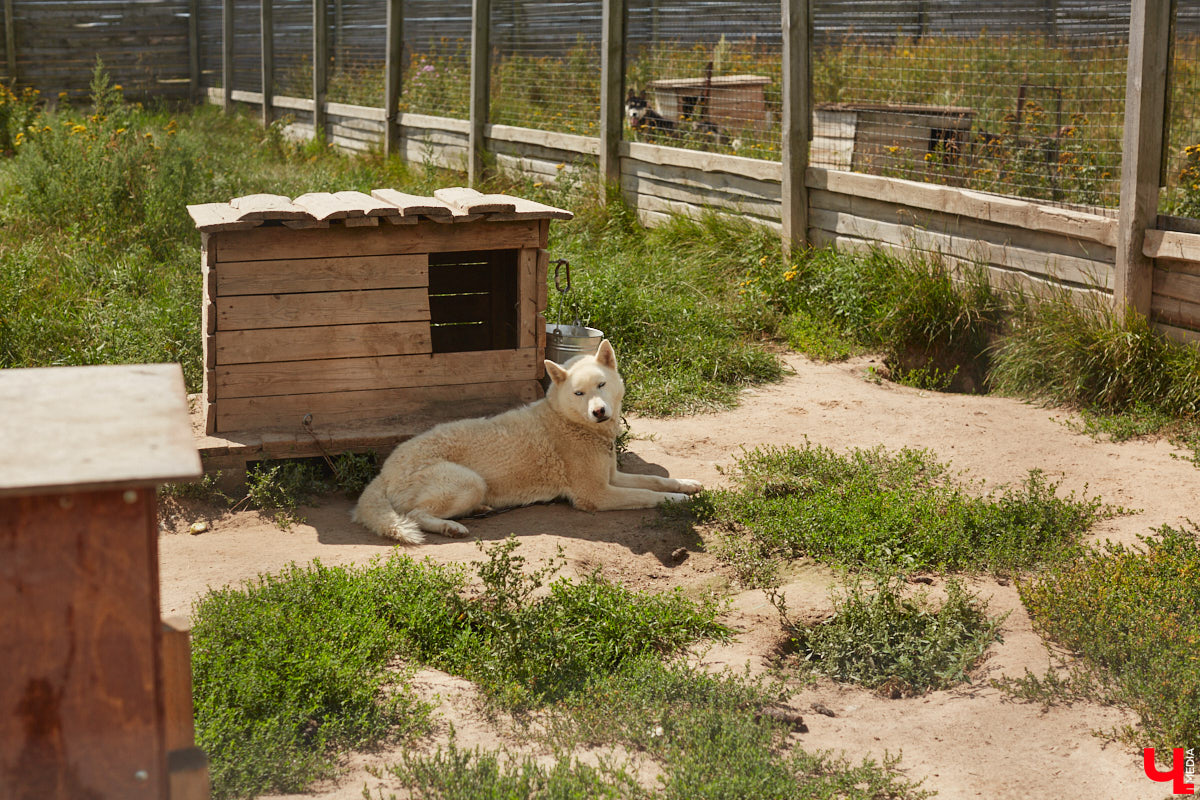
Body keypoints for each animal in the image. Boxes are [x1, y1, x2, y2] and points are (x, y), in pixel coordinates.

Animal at [348, 340, 700, 544]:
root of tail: (382, 474)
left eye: (601, 385)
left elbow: (655, 479)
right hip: (468, 481)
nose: (599, 411)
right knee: (415, 515)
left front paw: (688, 485)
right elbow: (647, 494)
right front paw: (679, 500)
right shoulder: (596, 495)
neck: (567, 420)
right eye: (579, 393)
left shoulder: (612, 476)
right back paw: (452, 528)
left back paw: (478, 510)